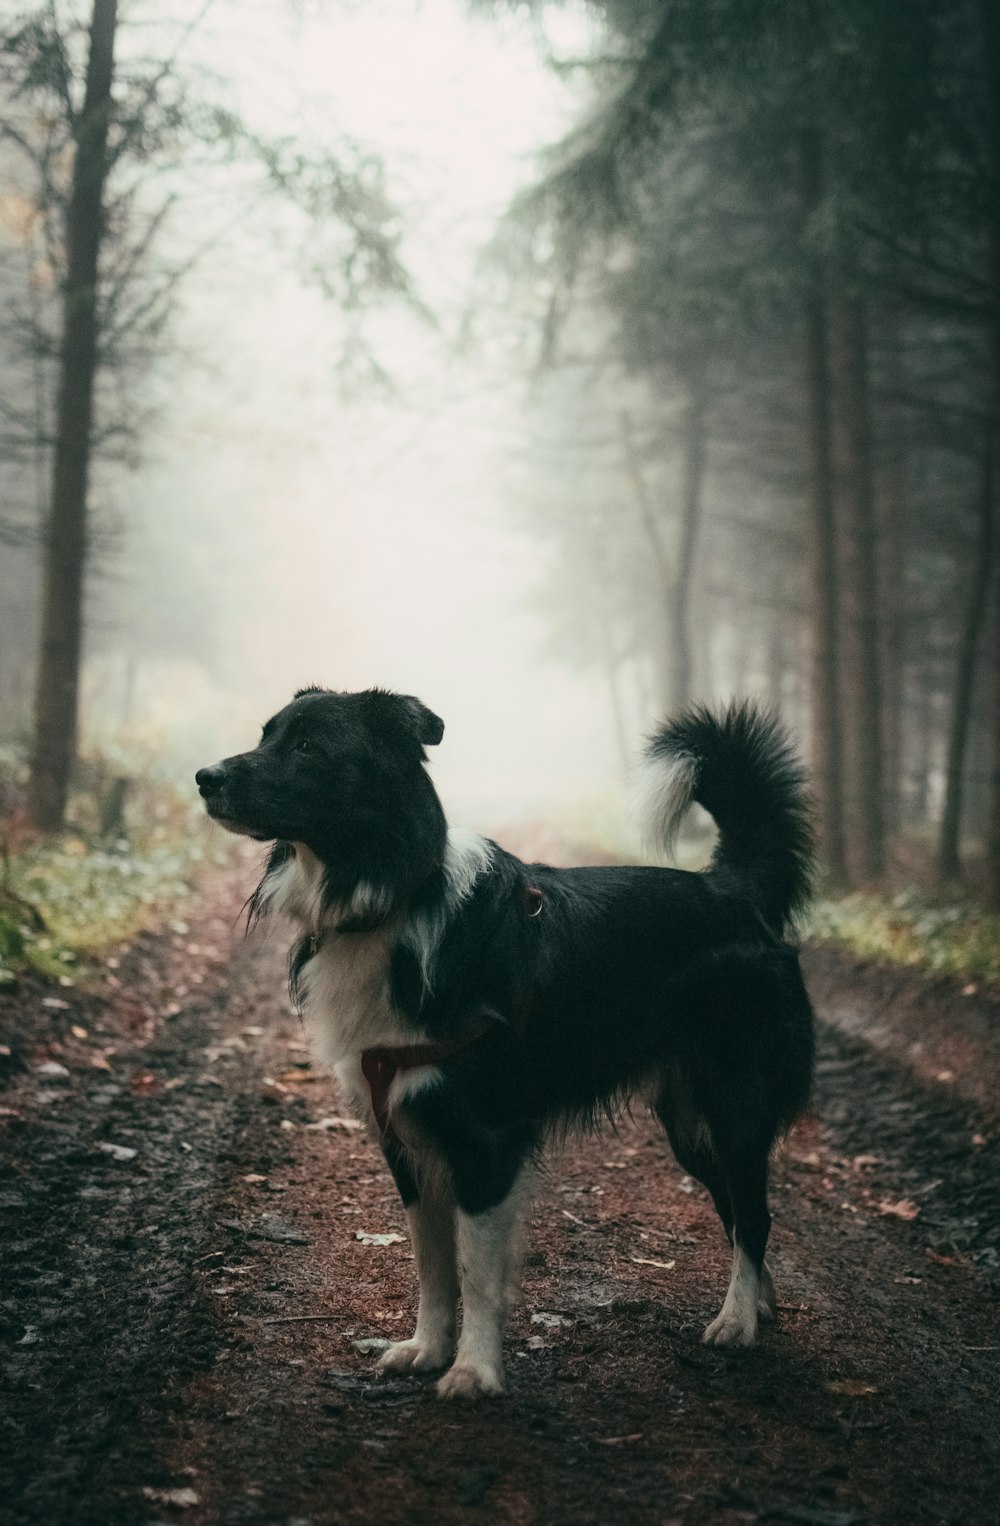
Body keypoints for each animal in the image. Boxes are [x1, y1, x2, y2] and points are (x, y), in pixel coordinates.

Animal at [195, 689, 812, 1397]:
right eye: (265, 735)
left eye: (308, 747)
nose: (204, 777)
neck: (395, 896)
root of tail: (733, 890)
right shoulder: (405, 1138)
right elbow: (432, 1264)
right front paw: (427, 1348)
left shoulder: (484, 1141)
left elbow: (477, 1272)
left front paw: (474, 1370)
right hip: (689, 1124)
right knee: (739, 1212)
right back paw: (760, 1305)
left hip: (735, 1102)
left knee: (755, 1216)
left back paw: (736, 1321)